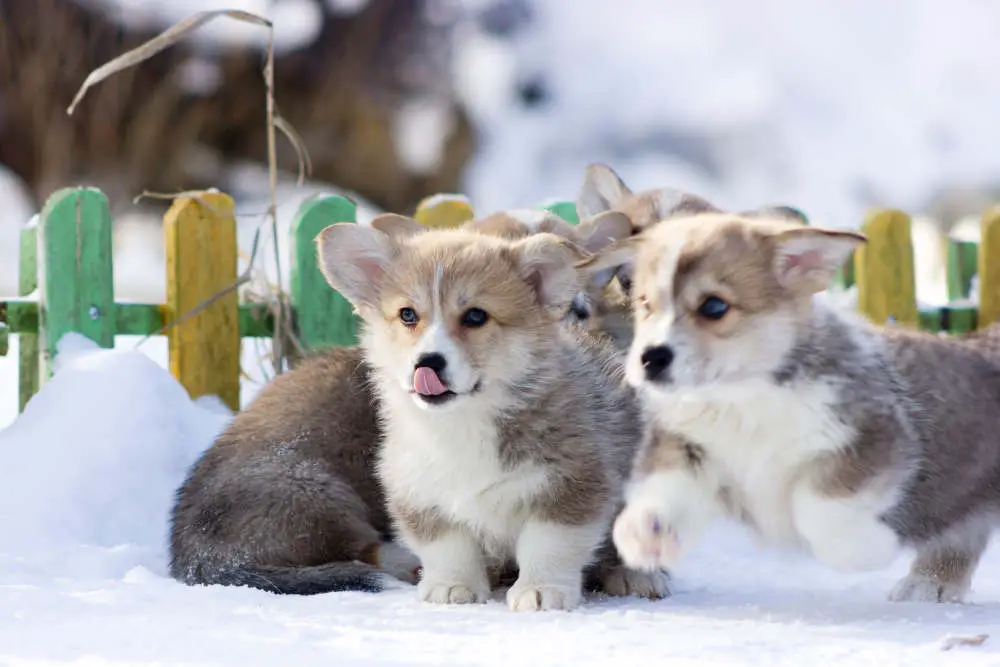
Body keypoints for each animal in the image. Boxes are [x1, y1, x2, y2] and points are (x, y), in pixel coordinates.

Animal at [316, 217, 668, 612]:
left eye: (475, 316)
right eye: (408, 315)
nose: (427, 363)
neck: (465, 421)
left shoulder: (573, 483)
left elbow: (549, 544)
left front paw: (540, 590)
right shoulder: (420, 492)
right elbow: (448, 547)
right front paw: (452, 587)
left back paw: (637, 576)